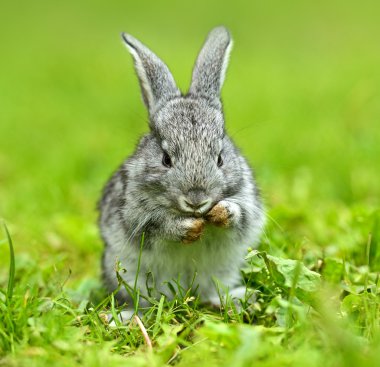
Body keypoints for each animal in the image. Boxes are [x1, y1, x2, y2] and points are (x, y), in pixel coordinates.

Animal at [98, 26, 264, 314]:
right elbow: (156, 227)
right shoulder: (136, 216)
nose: (197, 200)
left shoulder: (247, 200)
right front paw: (187, 228)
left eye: (220, 158)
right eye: (166, 159)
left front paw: (222, 212)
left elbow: (241, 214)